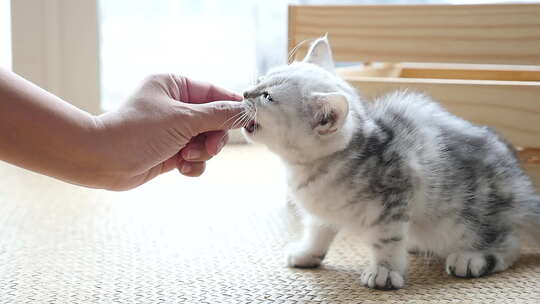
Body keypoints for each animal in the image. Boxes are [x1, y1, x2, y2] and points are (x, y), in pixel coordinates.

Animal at [242, 36, 540, 290]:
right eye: (260, 79)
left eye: (267, 97)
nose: (245, 92)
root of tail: (522, 186)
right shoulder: (322, 211)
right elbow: (318, 230)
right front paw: (307, 253)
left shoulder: (393, 198)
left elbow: (387, 240)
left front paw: (384, 271)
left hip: (466, 220)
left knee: (510, 244)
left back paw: (473, 258)